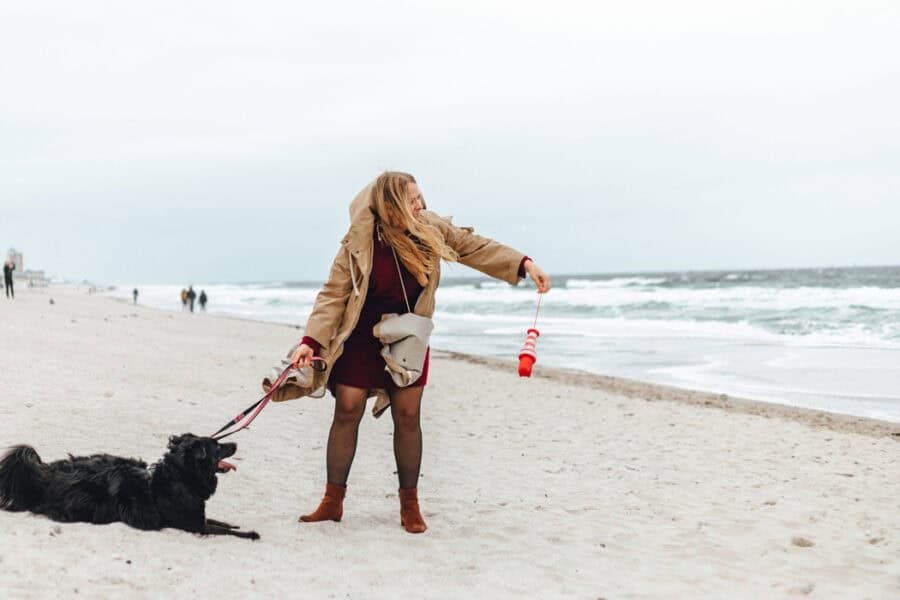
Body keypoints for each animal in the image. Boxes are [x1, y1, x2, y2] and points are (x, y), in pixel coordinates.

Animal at [0, 432, 260, 540]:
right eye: (218, 446)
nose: (235, 444)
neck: (180, 477)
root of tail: (45, 470)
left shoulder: (198, 516)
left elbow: (220, 522)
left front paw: (235, 524)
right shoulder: (193, 525)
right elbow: (221, 530)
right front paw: (250, 534)